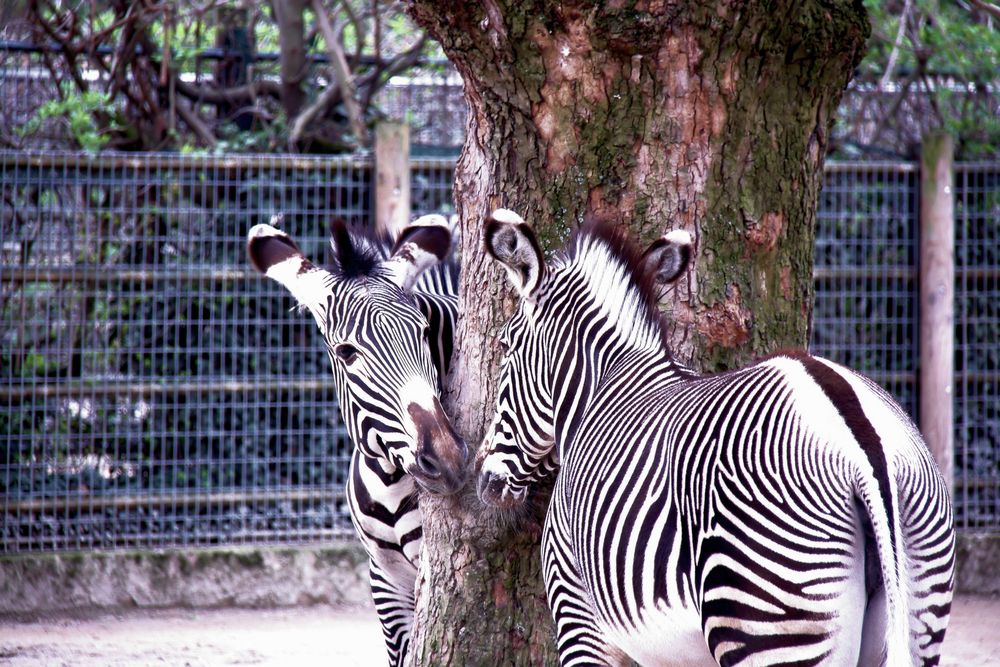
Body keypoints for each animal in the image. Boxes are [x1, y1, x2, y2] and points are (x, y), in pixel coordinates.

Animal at [474, 211, 952, 667]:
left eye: (506, 347)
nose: (486, 481)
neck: (602, 388)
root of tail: (858, 442)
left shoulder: (577, 612)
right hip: (916, 602)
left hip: (764, 617)